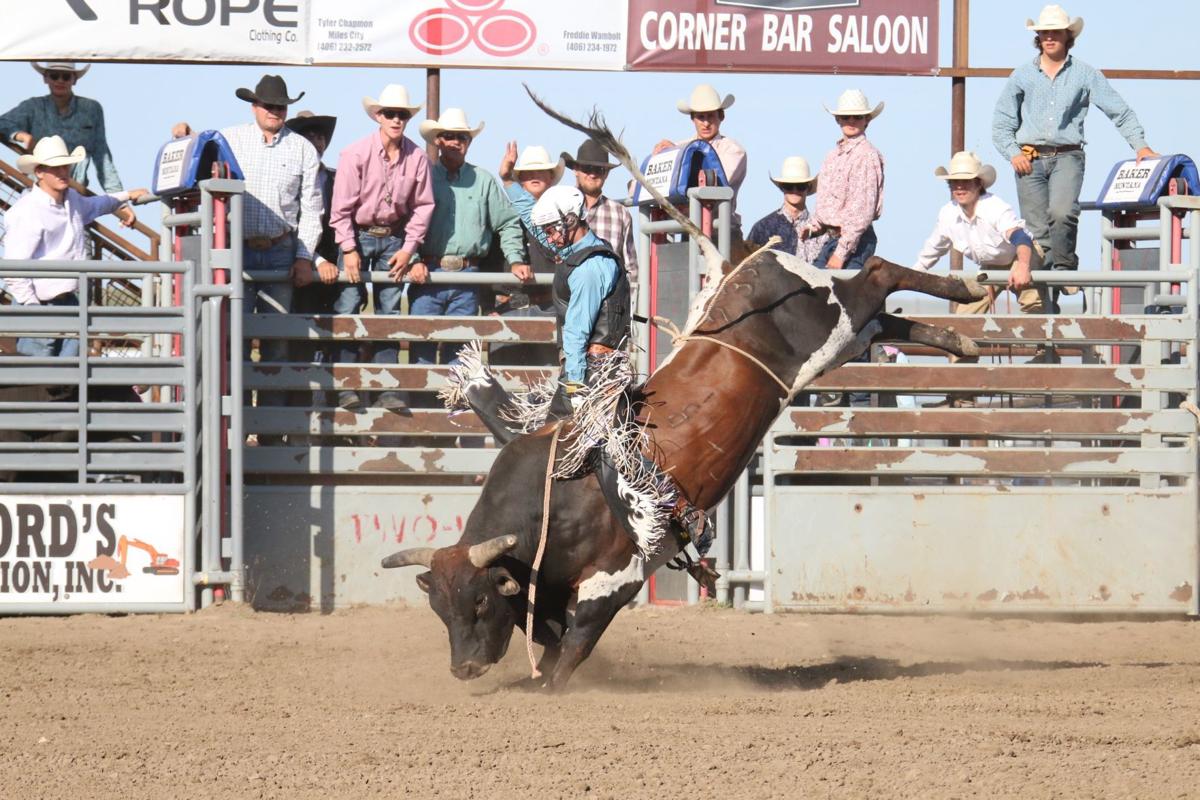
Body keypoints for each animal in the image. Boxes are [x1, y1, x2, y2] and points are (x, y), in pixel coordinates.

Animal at [376, 87, 984, 690]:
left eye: (479, 602)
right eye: (440, 610)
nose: (464, 668)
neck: (556, 503)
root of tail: (732, 268)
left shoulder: (611, 582)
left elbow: (568, 656)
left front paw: (551, 685)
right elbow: (549, 643)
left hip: (832, 318)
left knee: (878, 272)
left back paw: (964, 288)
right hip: (840, 341)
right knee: (885, 319)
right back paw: (959, 337)